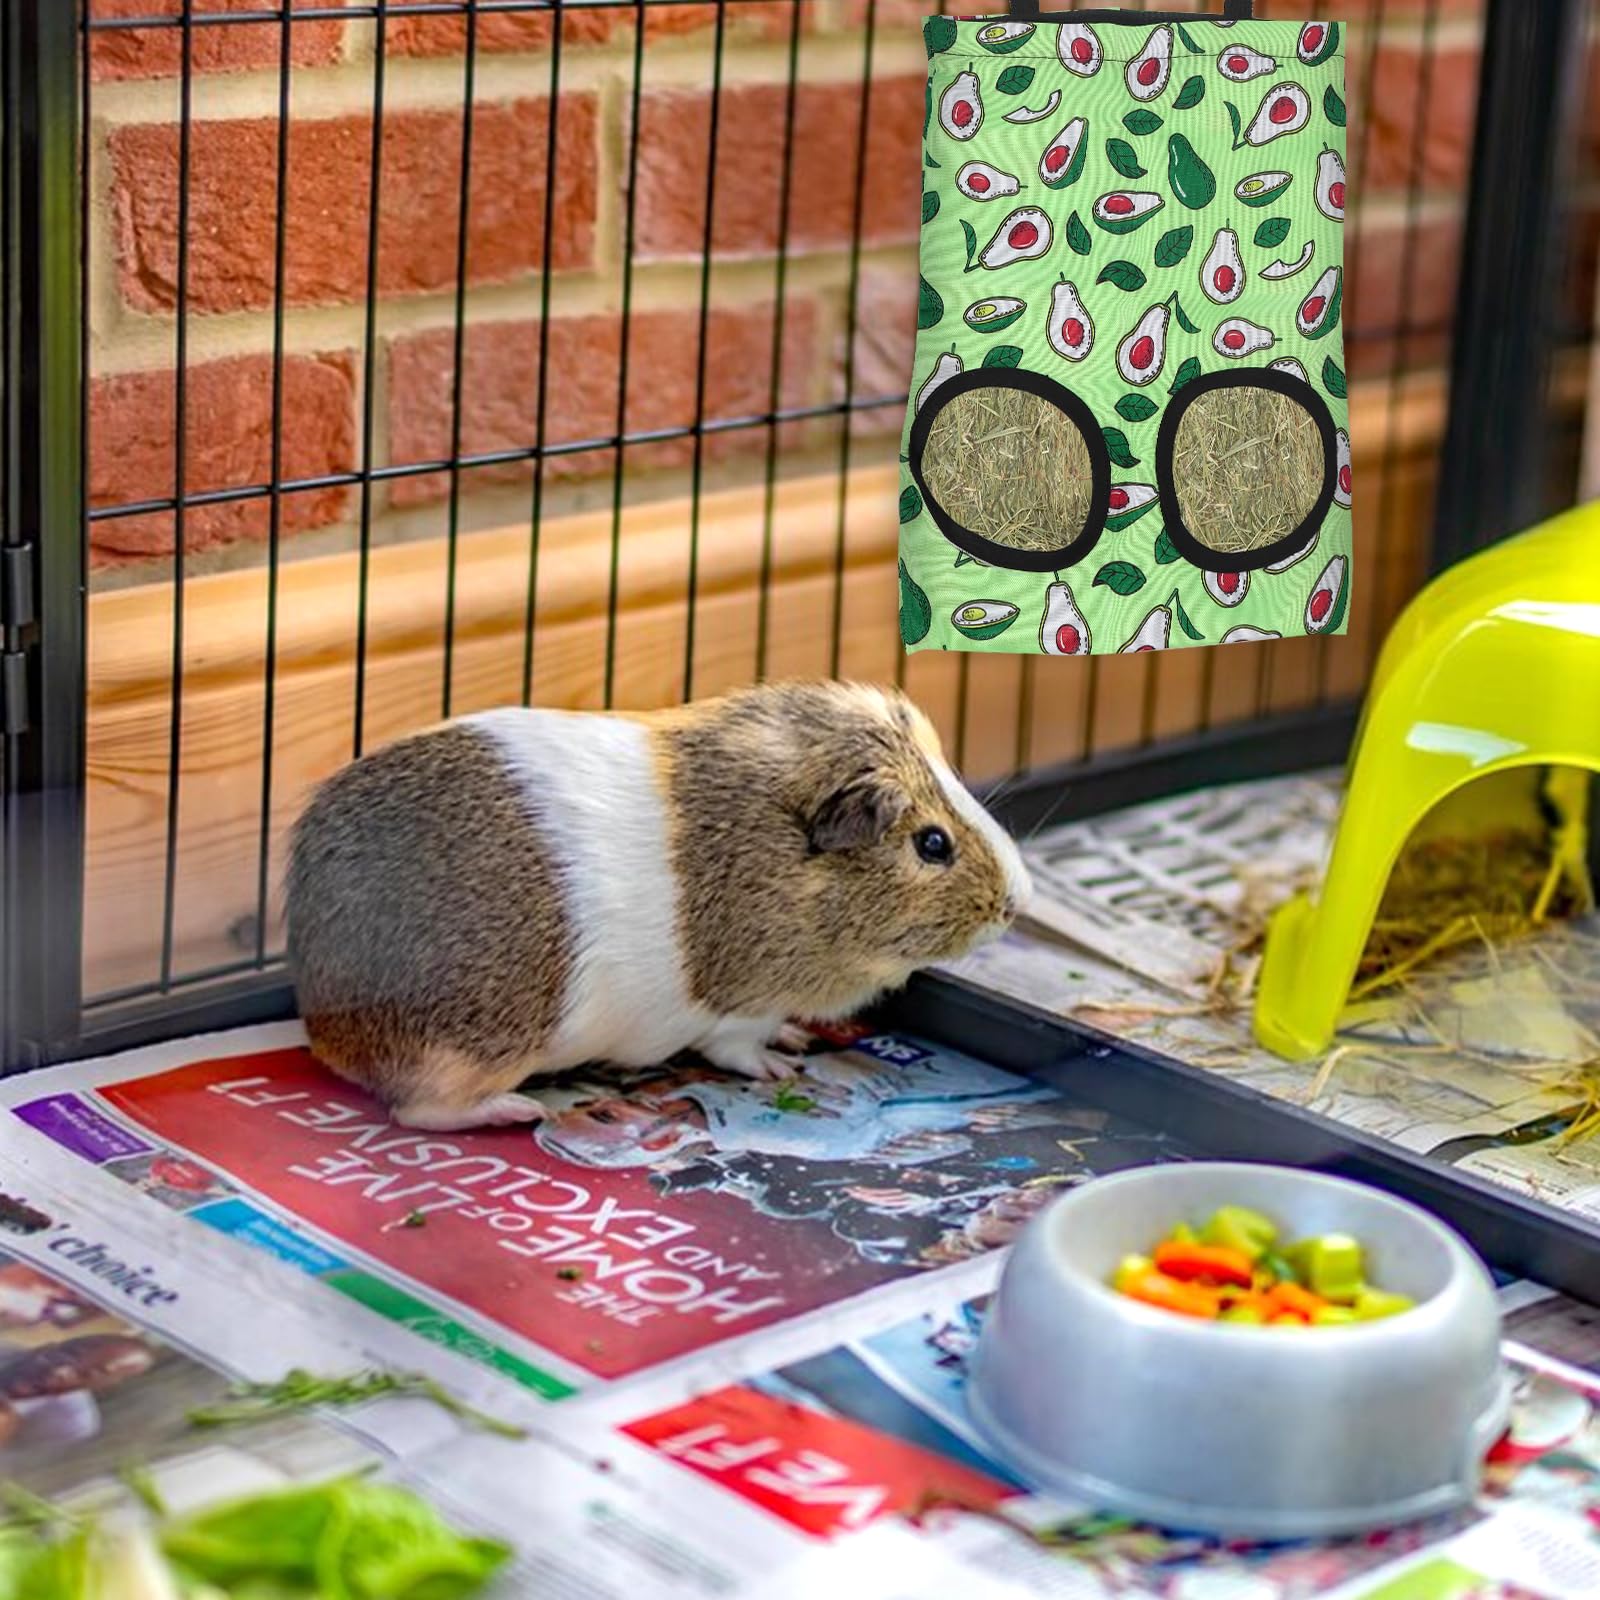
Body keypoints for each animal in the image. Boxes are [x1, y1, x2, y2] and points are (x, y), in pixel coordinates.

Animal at [286, 680, 1031, 1132]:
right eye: (932, 843)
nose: (1017, 902)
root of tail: (322, 1015)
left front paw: (795, 1041)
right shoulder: (738, 1006)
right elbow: (739, 1047)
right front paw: (781, 1066)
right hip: (479, 1050)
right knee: (419, 1111)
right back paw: (519, 1111)